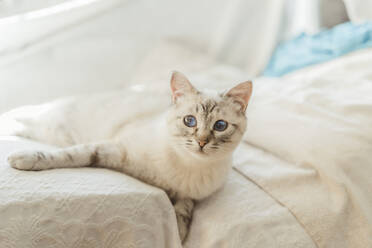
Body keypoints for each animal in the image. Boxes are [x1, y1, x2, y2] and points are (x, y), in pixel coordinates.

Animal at [6, 70, 253, 243]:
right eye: (189, 121)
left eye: (220, 126)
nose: (201, 142)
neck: (190, 166)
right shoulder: (113, 149)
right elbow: (70, 156)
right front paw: (24, 160)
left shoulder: (189, 196)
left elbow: (183, 213)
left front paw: (180, 233)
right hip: (54, 128)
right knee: (21, 118)